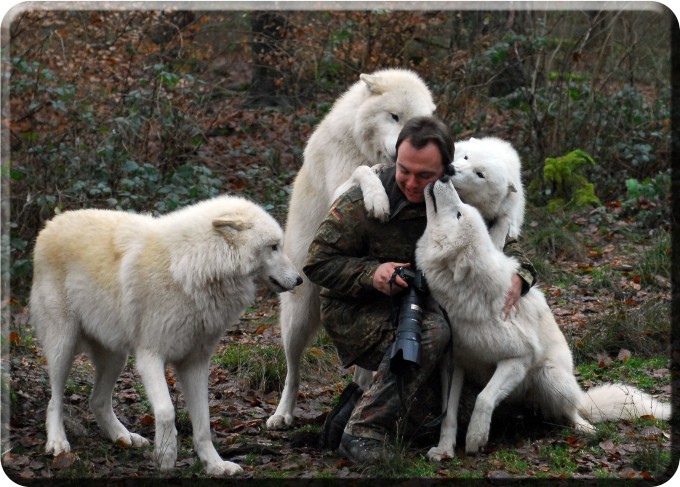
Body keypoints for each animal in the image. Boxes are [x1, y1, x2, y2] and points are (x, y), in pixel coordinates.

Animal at [29, 195, 300, 476]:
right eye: (274, 247)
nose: (300, 279)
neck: (193, 267)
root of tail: (51, 223)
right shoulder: (150, 356)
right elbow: (167, 410)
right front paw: (166, 456)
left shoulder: (195, 363)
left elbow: (203, 424)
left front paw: (215, 465)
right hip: (63, 346)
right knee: (55, 400)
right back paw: (58, 442)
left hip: (116, 357)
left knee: (97, 401)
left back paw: (123, 436)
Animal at [266, 68, 436, 430]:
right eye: (394, 116)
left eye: (414, 122)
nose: (401, 152)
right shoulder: (341, 186)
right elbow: (363, 173)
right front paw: (377, 199)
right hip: (298, 316)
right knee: (292, 370)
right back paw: (282, 414)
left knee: (363, 366)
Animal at [414, 179, 668, 462]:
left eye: (459, 213)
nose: (444, 178)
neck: (466, 296)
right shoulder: (454, 362)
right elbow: (448, 413)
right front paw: (444, 450)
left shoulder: (519, 359)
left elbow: (485, 398)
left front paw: (475, 438)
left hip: (550, 377)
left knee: (572, 412)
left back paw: (584, 428)